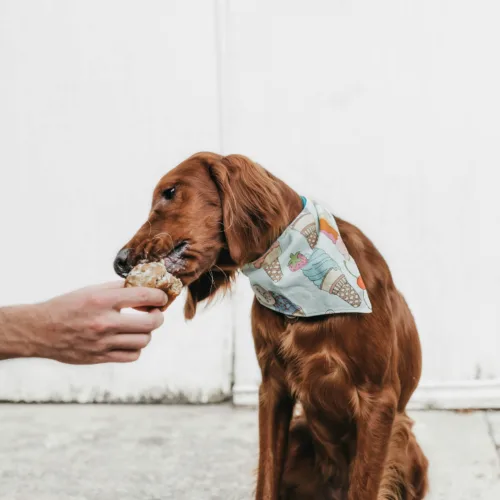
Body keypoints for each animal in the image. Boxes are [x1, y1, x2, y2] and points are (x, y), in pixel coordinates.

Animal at [114, 153, 430, 500]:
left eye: (170, 192)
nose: (119, 261)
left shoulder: (377, 398)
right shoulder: (273, 387)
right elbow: (267, 476)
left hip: (406, 445)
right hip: (300, 435)